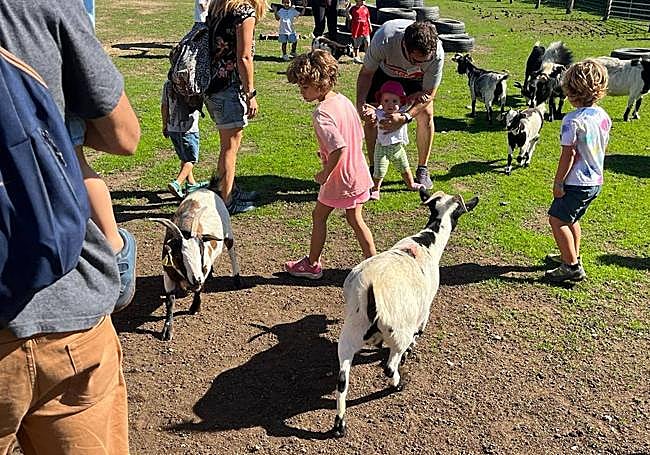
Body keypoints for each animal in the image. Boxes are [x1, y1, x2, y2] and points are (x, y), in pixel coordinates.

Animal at [148, 186, 241, 341]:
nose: (196, 280)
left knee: (231, 251)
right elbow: (170, 300)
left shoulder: (203, 268)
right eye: (178, 256)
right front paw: (167, 331)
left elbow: (199, 290)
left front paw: (195, 308)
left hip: (228, 233)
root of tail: (206, 189)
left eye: (201, 251)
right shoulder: (168, 274)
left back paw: (237, 279)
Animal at [332, 188, 479, 438]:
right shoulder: (423, 310)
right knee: (389, 367)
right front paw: (411, 351)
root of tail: (371, 290)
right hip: (399, 332)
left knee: (342, 379)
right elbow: (418, 333)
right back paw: (399, 384)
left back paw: (339, 424)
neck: (427, 242)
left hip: (350, 332)